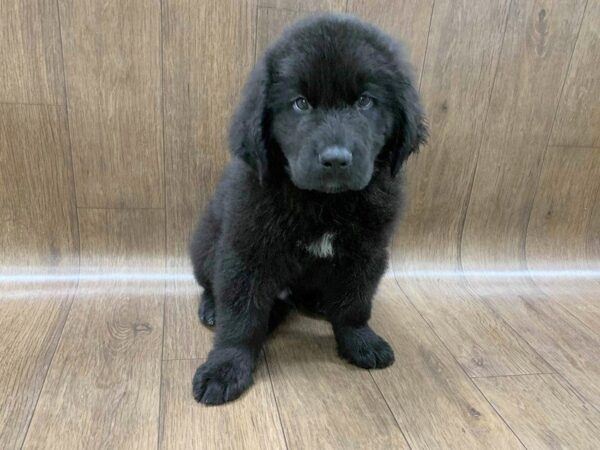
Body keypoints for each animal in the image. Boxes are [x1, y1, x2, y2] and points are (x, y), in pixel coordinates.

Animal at [191, 14, 426, 404]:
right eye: (300, 103)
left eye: (365, 101)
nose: (336, 159)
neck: (324, 203)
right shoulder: (246, 252)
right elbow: (241, 317)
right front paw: (226, 367)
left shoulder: (367, 253)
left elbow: (355, 303)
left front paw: (360, 341)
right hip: (204, 242)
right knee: (213, 285)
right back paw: (212, 307)